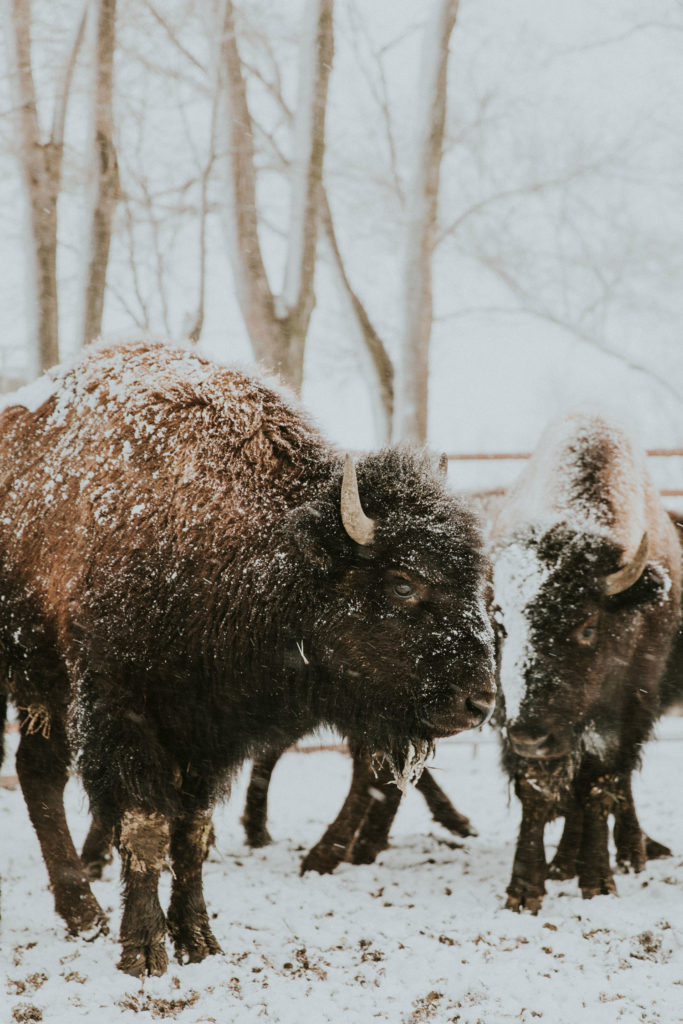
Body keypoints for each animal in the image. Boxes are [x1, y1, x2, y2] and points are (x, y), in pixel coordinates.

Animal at [0, 341, 496, 975]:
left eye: (478, 580)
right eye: (404, 583)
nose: (479, 701)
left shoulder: (209, 735)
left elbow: (191, 834)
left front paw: (199, 942)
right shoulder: (124, 710)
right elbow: (145, 826)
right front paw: (144, 952)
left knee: (40, 770)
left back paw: (83, 916)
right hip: (38, 670)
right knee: (40, 772)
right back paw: (86, 915)